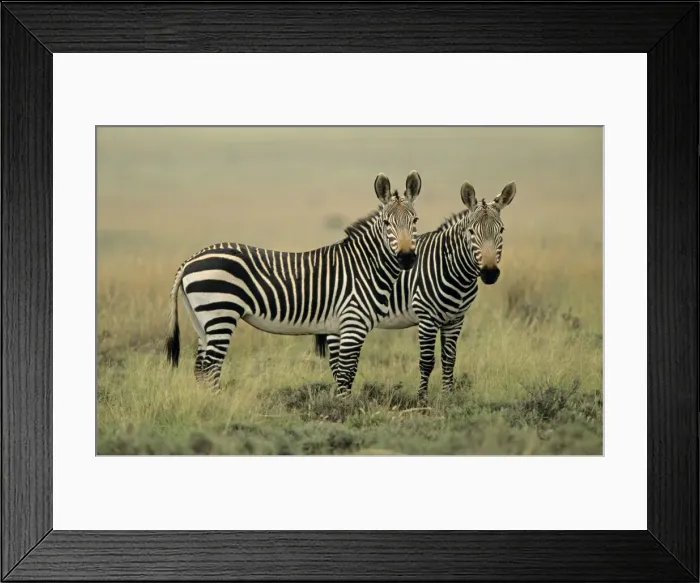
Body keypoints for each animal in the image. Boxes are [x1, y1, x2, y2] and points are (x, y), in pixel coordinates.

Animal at [165, 171, 423, 394]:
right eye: (387, 223)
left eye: (415, 220)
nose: (407, 257)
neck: (365, 265)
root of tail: (189, 261)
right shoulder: (353, 323)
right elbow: (347, 373)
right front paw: (346, 409)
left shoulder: (338, 327)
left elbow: (341, 372)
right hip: (221, 313)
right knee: (210, 367)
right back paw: (218, 403)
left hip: (202, 319)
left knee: (200, 368)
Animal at [313, 180, 516, 403]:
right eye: (471, 232)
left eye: (502, 230)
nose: (489, 273)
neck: (452, 269)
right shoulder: (427, 317)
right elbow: (426, 361)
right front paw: (422, 400)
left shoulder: (456, 319)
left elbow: (449, 359)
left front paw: (448, 396)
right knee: (336, 363)